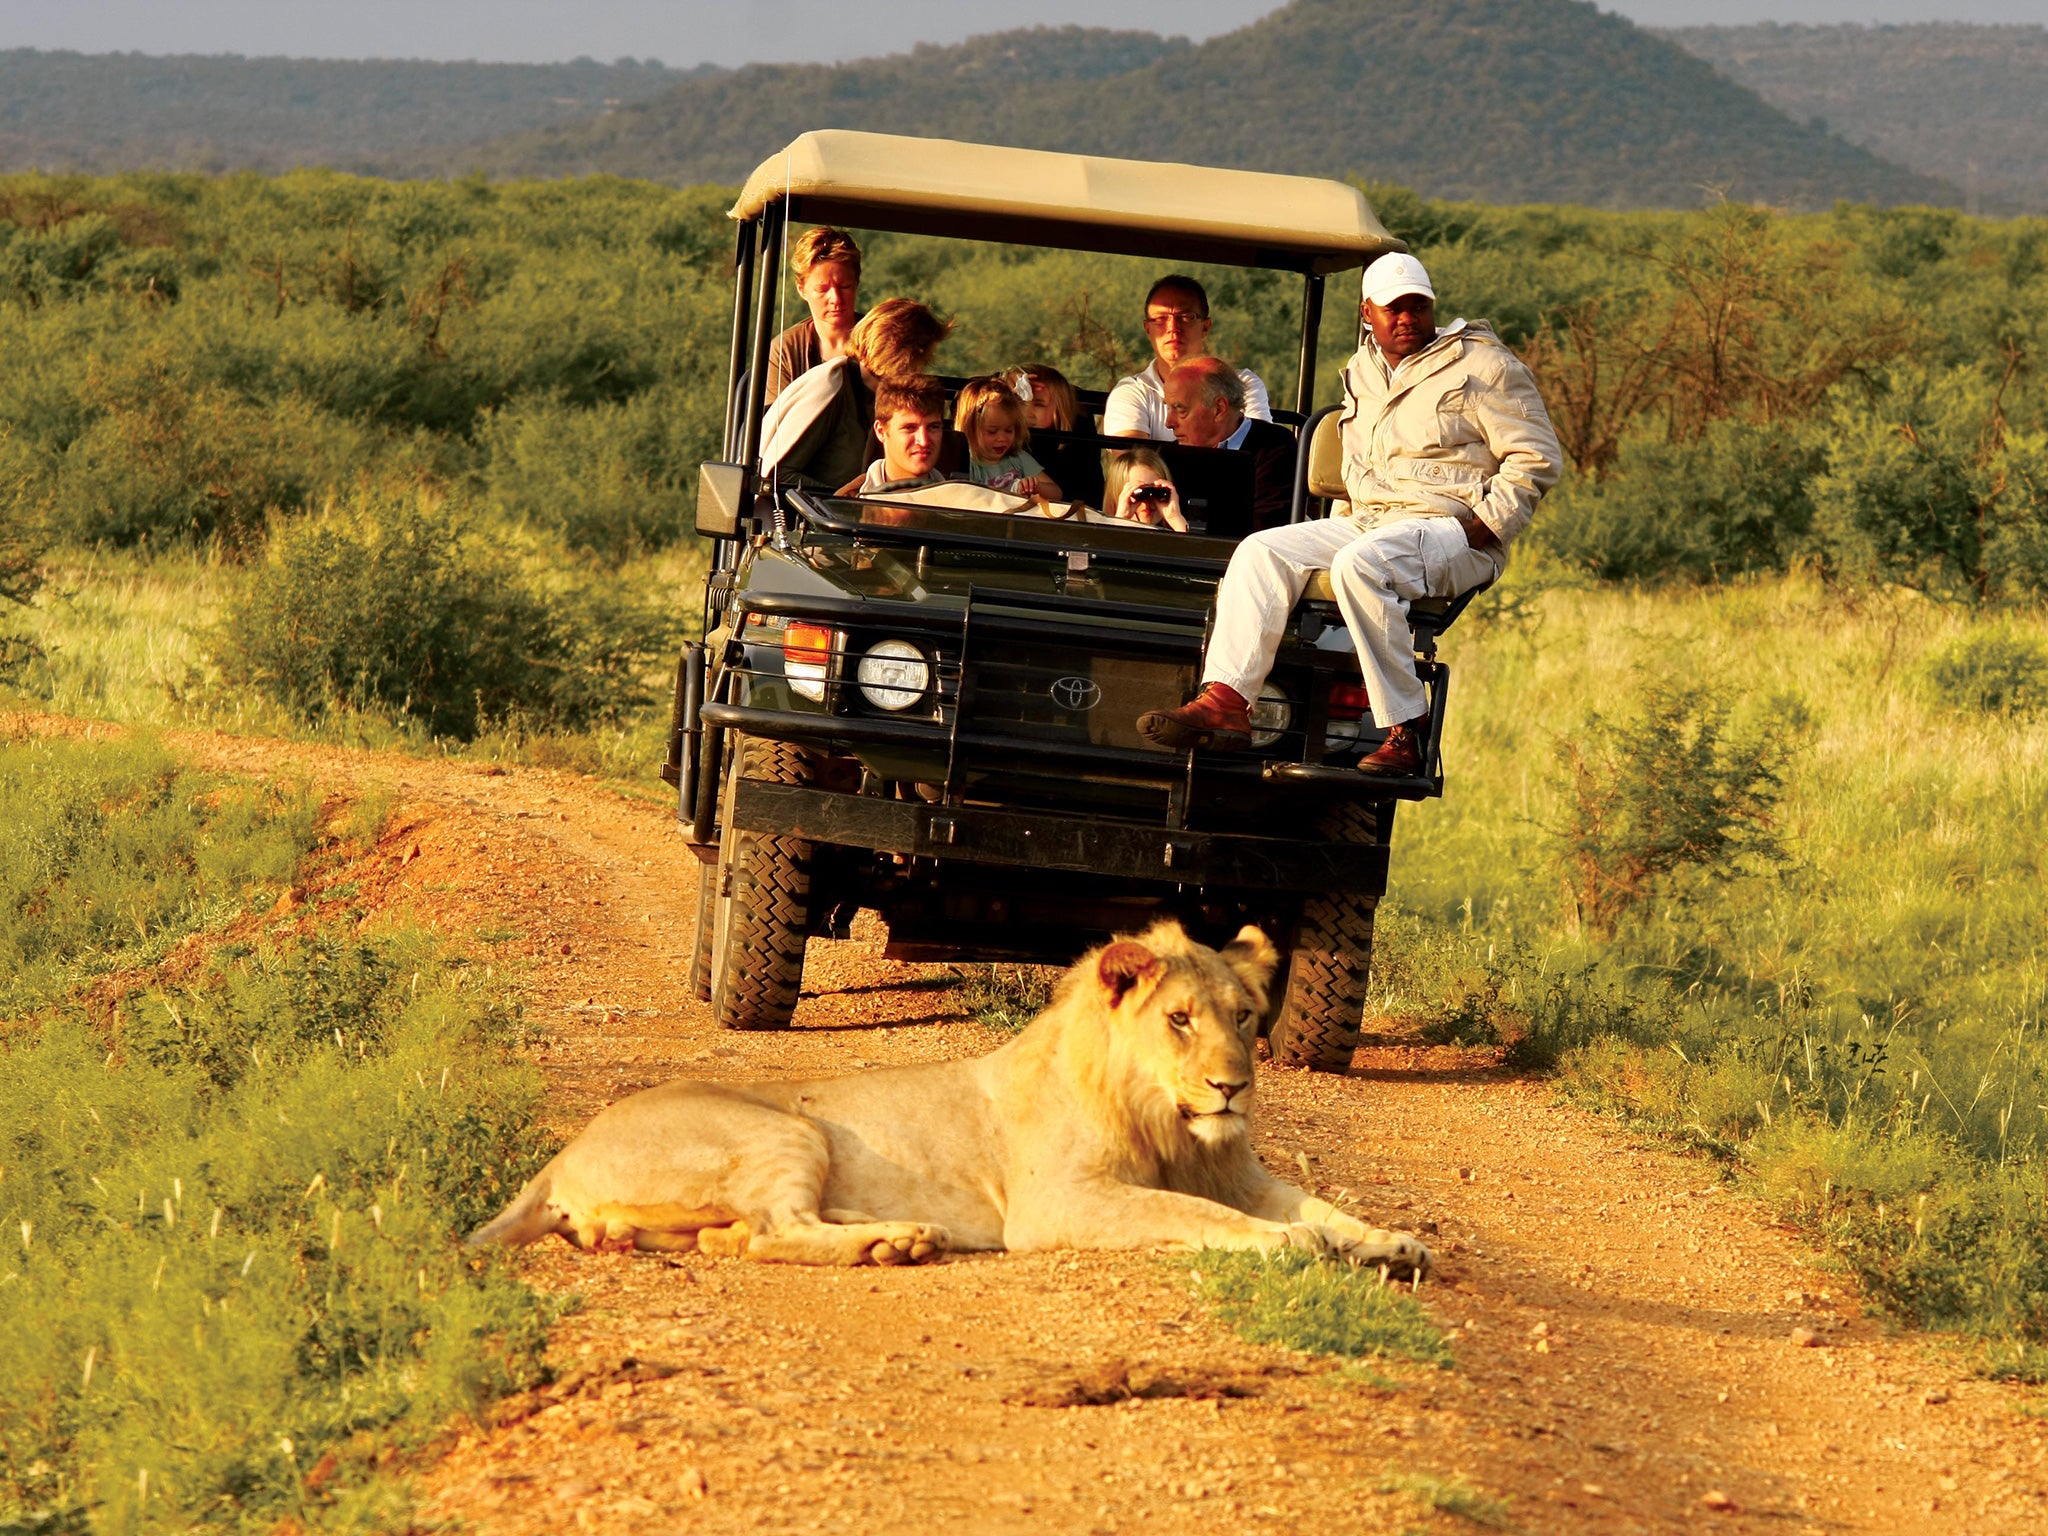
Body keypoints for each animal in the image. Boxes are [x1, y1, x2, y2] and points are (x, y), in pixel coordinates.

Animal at [471, 921, 1433, 1277]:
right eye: (1180, 1020)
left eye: (1244, 1017)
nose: (1235, 1085)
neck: (1171, 1124)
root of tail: (561, 1152)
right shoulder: (1058, 1204)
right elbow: (1203, 1217)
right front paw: (1294, 1244)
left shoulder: (1241, 1175)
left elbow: (1323, 1205)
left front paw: (1391, 1241)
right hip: (787, 1133)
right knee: (777, 1231)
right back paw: (895, 1242)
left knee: (736, 1238)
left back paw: (895, 1238)